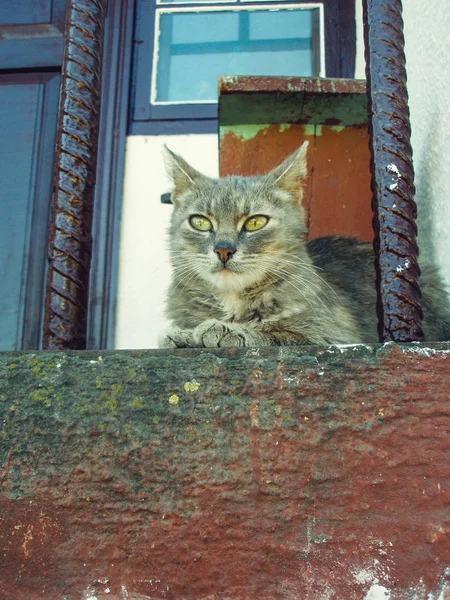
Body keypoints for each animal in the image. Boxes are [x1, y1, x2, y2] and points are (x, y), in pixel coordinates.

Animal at [159, 142, 450, 346]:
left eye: (255, 222)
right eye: (200, 222)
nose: (223, 249)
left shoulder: (333, 336)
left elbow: (277, 332)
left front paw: (226, 330)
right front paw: (183, 334)